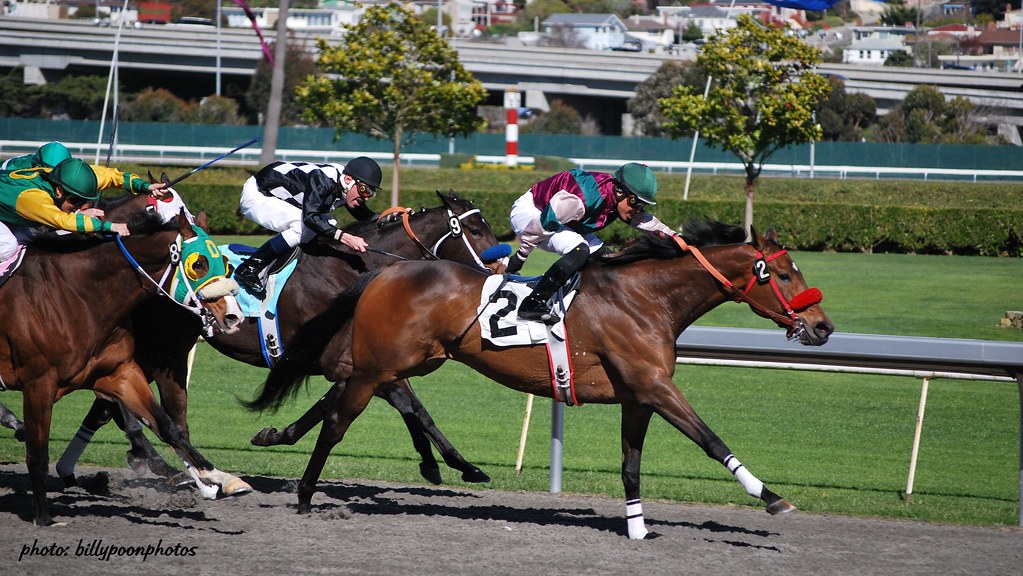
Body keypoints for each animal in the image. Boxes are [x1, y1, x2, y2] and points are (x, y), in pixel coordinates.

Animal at [0, 199, 245, 527]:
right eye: (199, 264)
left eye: (227, 265)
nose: (234, 316)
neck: (77, 295)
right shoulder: (38, 382)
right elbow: (37, 454)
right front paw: (44, 518)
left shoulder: (119, 372)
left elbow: (167, 425)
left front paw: (219, 478)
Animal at [48, 192, 503, 486]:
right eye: (475, 228)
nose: (503, 266)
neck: (352, 271)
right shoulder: (344, 361)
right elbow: (410, 404)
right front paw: (454, 464)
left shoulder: (350, 362)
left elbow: (344, 404)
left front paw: (274, 435)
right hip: (164, 346)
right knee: (120, 401)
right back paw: (155, 462)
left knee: (109, 402)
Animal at [251, 222, 834, 540]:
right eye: (786, 275)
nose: (823, 327)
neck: (647, 298)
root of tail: (385, 270)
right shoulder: (655, 386)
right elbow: (711, 440)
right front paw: (771, 496)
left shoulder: (638, 397)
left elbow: (631, 465)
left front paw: (637, 525)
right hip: (382, 364)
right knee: (336, 423)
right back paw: (305, 495)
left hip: (406, 363)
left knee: (351, 398)